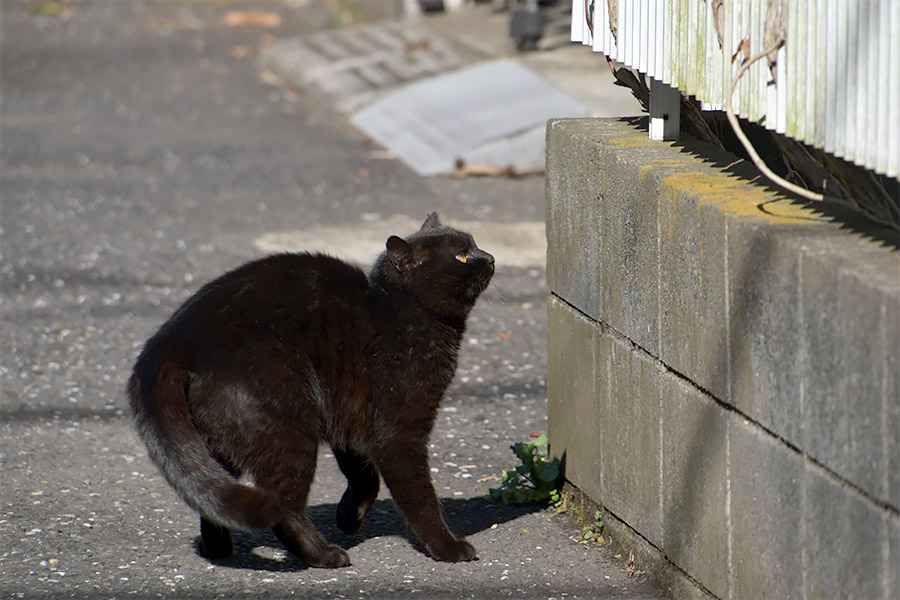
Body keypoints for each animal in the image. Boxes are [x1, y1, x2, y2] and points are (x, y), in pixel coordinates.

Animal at [126, 214, 492, 568]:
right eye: (461, 256)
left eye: (475, 244)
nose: (489, 257)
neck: (395, 313)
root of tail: (170, 342)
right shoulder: (398, 433)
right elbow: (419, 496)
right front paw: (447, 547)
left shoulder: (347, 418)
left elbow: (364, 476)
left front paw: (348, 518)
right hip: (288, 431)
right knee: (286, 509)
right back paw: (324, 555)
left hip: (219, 441)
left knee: (211, 495)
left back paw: (217, 549)